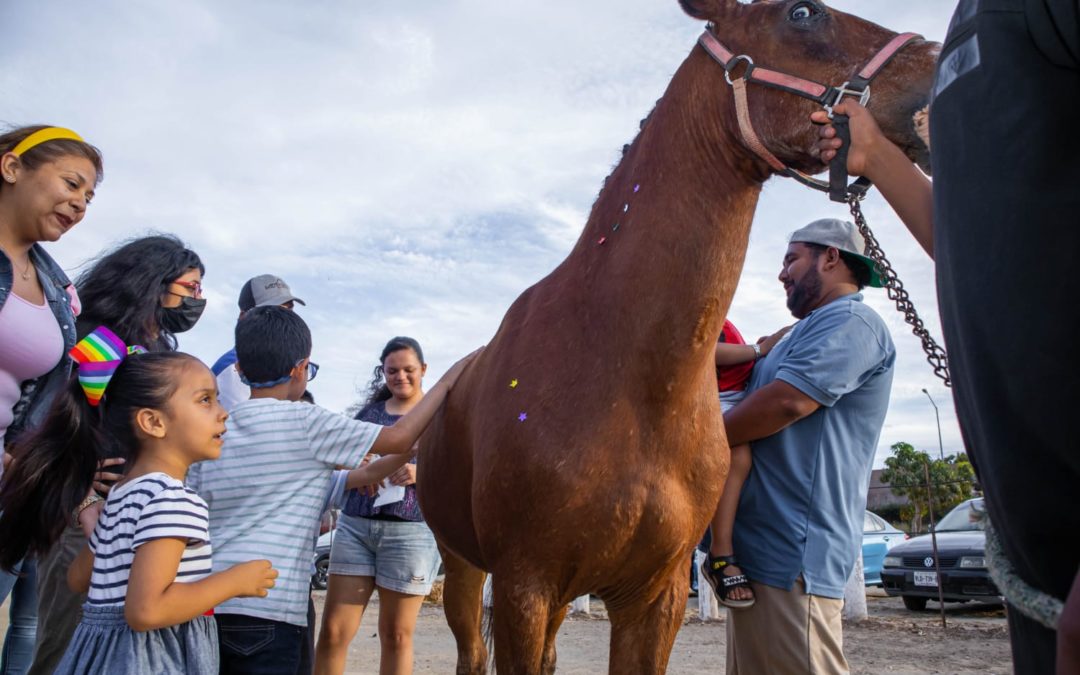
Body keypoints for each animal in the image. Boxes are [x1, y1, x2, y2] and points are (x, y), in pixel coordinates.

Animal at [419, 2, 937, 669]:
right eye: (802, 12)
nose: (938, 61)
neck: (619, 369)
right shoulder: (522, 586)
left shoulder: (654, 597)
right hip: (463, 565)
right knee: (470, 651)